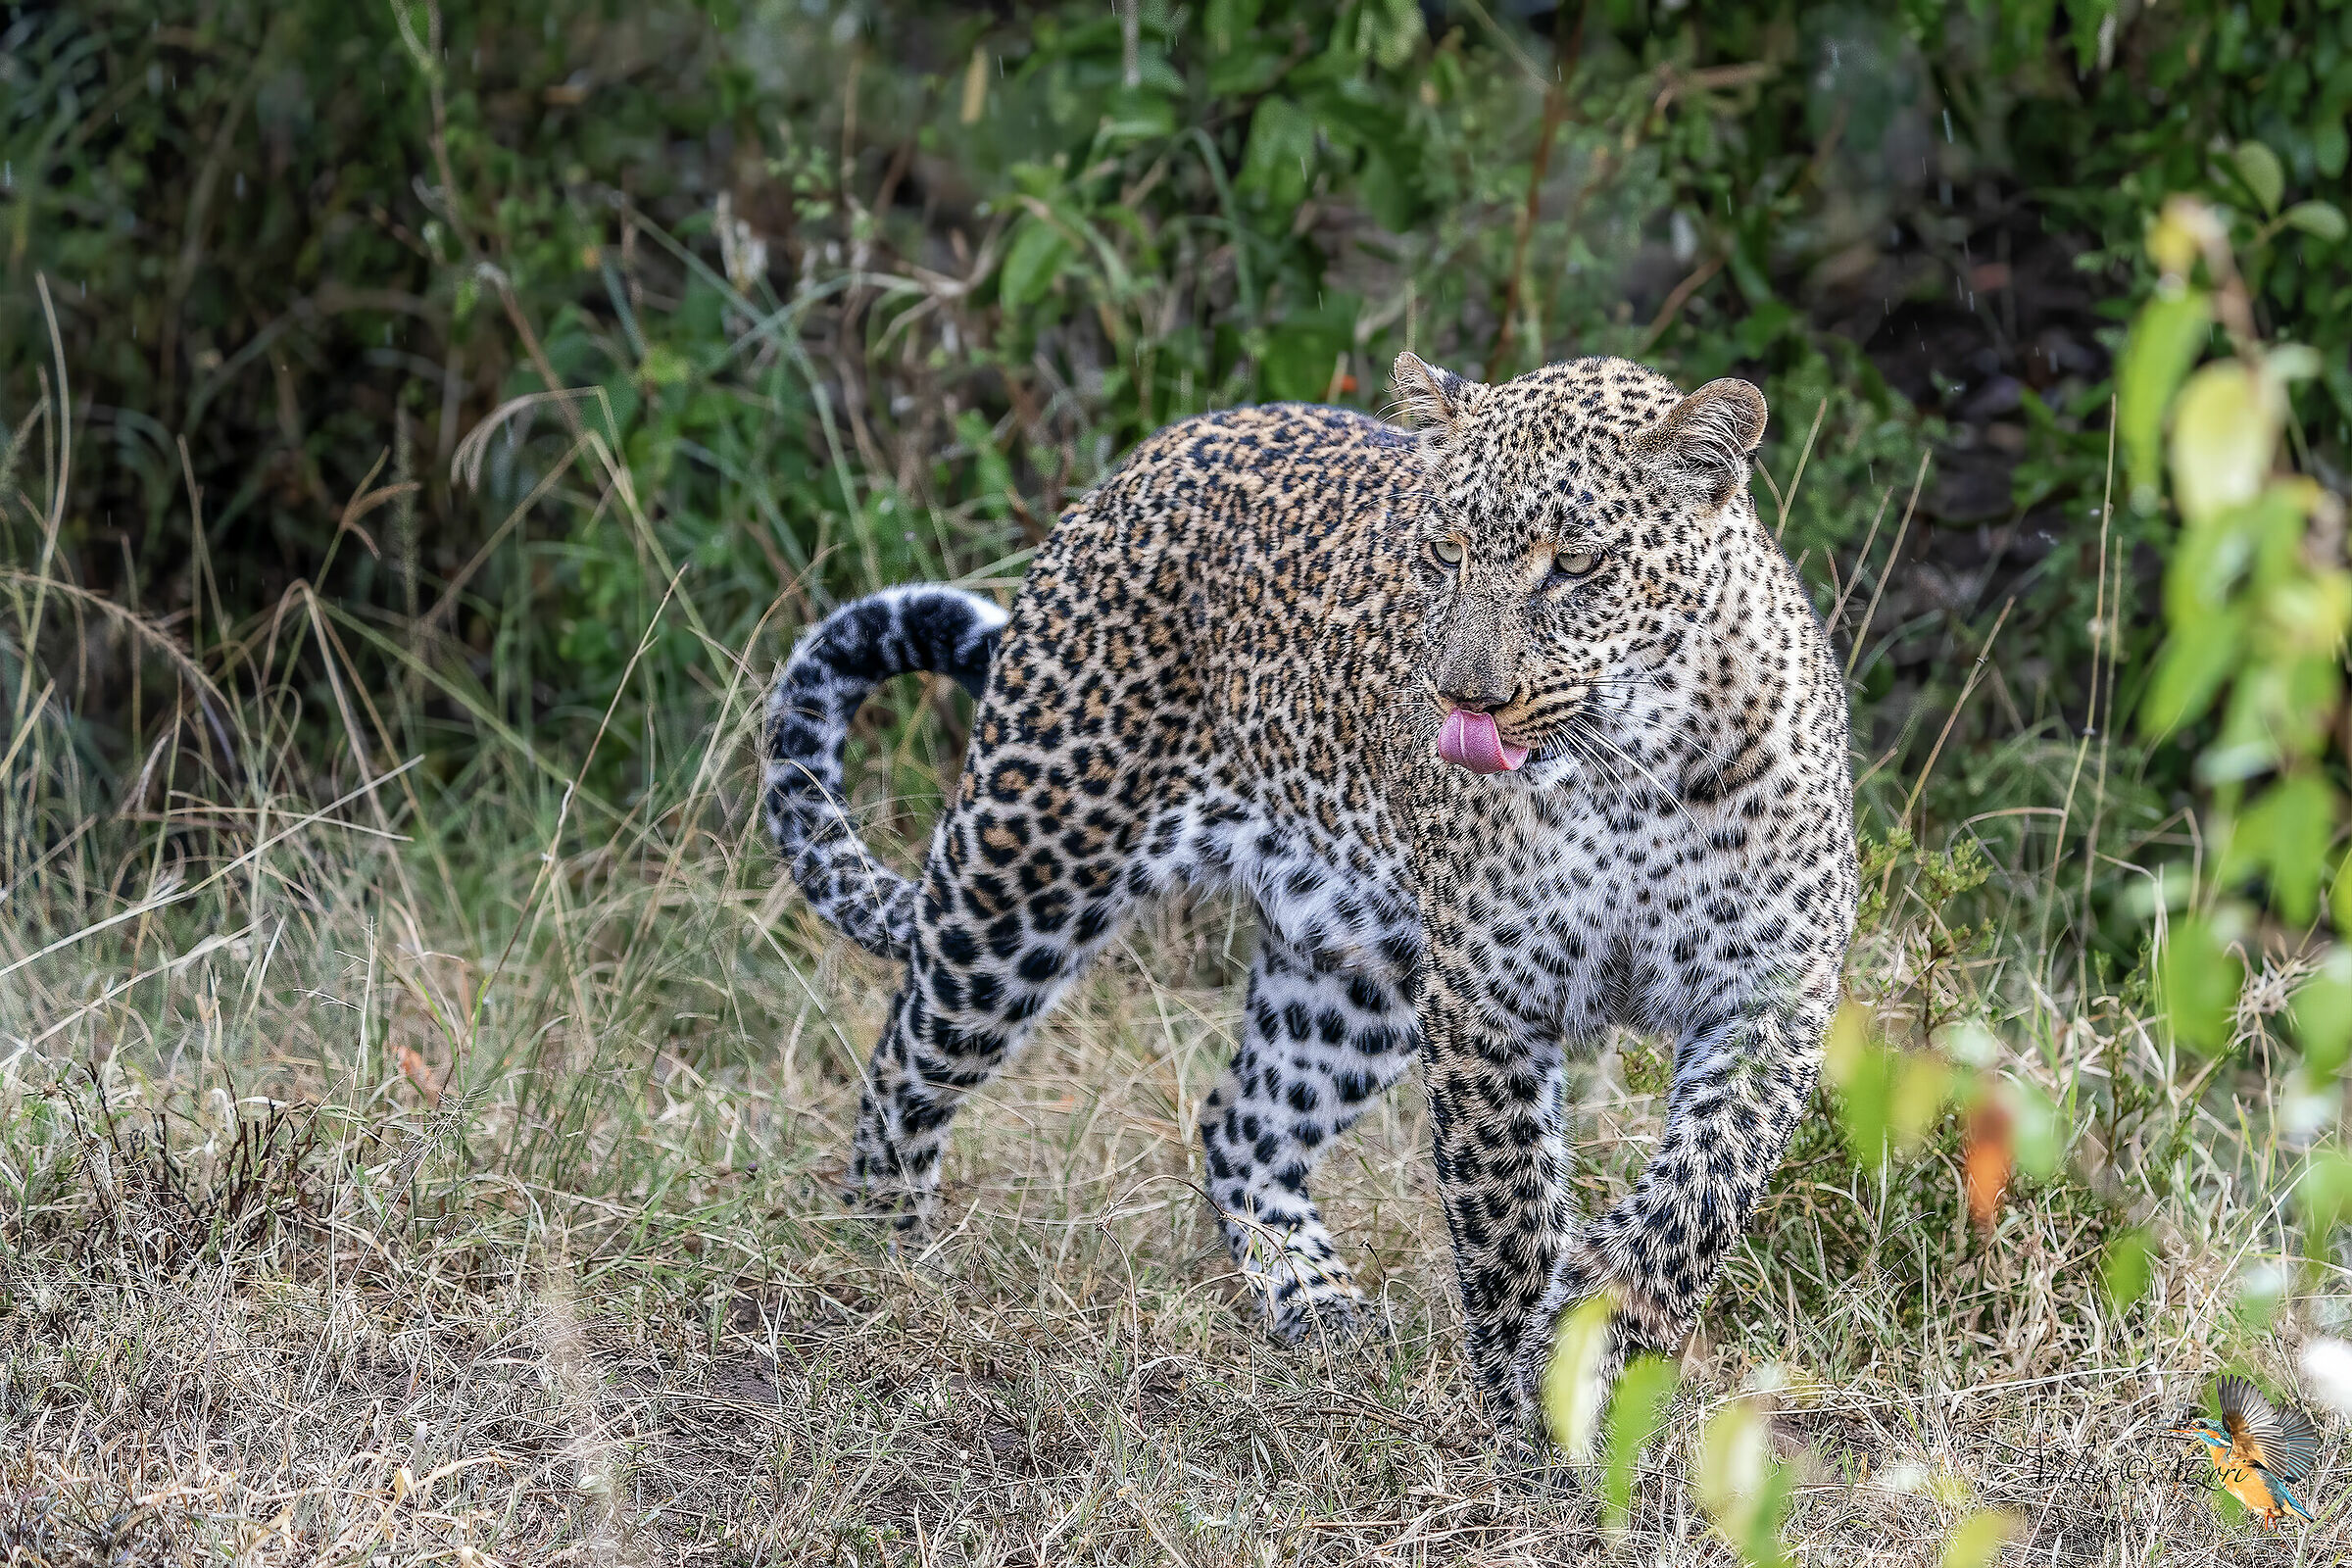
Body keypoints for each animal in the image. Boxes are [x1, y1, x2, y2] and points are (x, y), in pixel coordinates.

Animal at [761, 352, 1858, 1441]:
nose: (1465, 698)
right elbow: (1506, 1210)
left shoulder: (1769, 999)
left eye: (1577, 565)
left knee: (1241, 1120)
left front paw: (1600, 1317)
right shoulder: (1489, 998)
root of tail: (1158, 451)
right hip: (1030, 864)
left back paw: (1312, 1299)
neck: (1633, 775)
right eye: (1444, 551)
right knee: (908, 1055)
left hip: (1351, 976)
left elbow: (1700, 1196)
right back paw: (890, 1254)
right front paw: (1529, 1398)